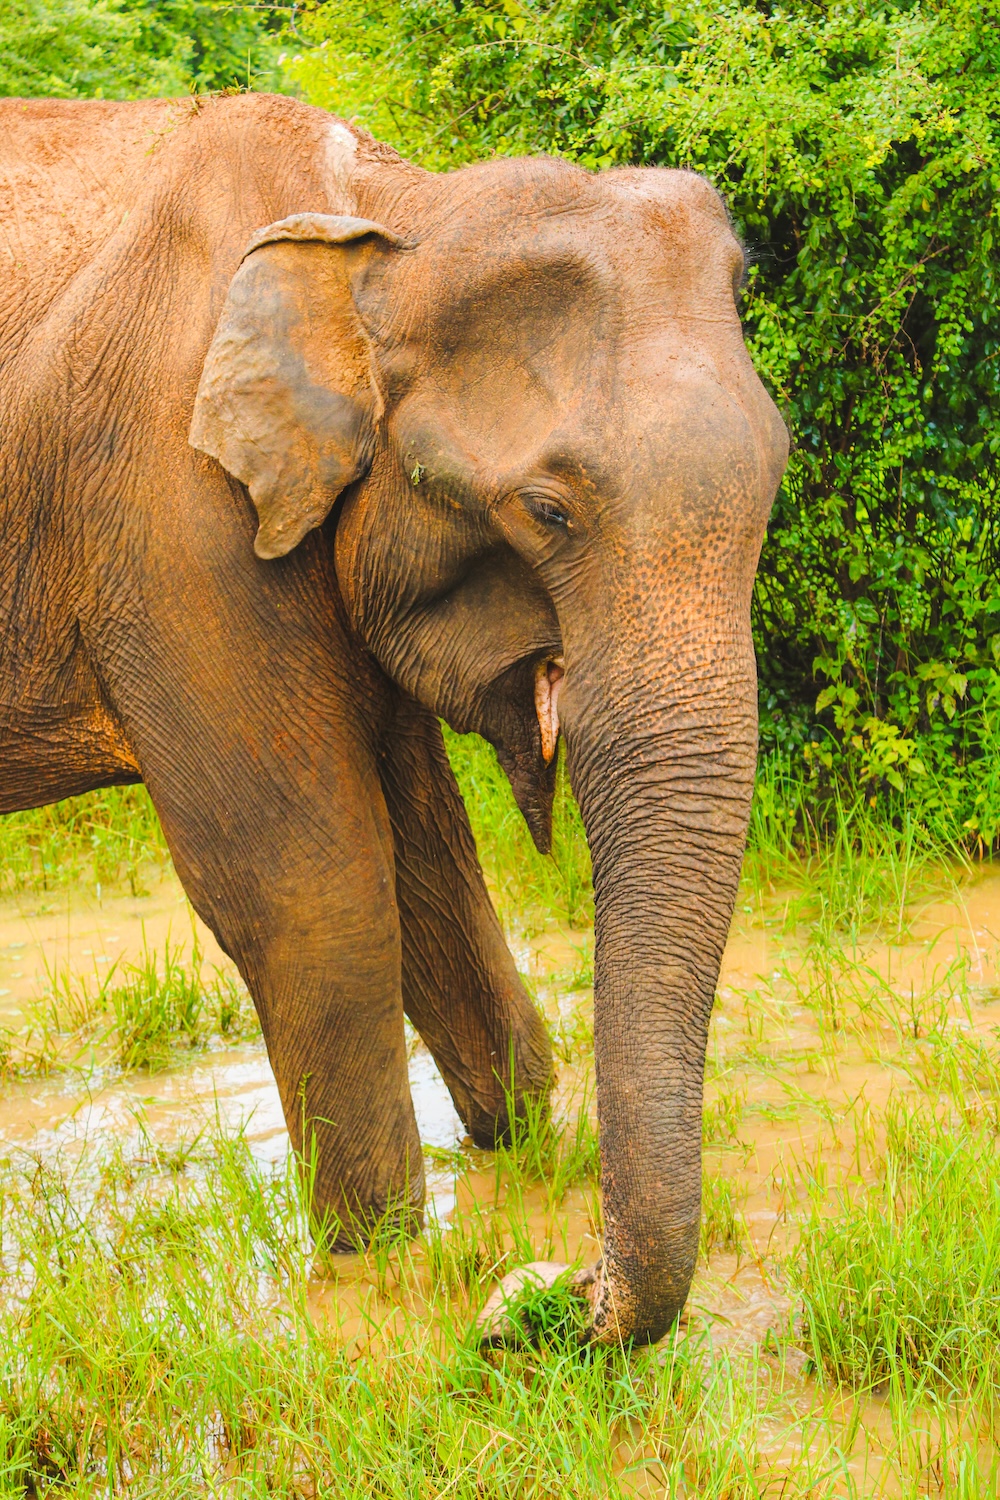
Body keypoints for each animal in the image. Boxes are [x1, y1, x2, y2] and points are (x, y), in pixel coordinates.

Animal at [1, 93, 791, 1344]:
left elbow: (431, 860)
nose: (541, 1297)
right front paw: (377, 1252)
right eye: (546, 510)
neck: (396, 218)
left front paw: (517, 1140)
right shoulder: (172, 513)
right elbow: (306, 884)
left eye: (776, 475)